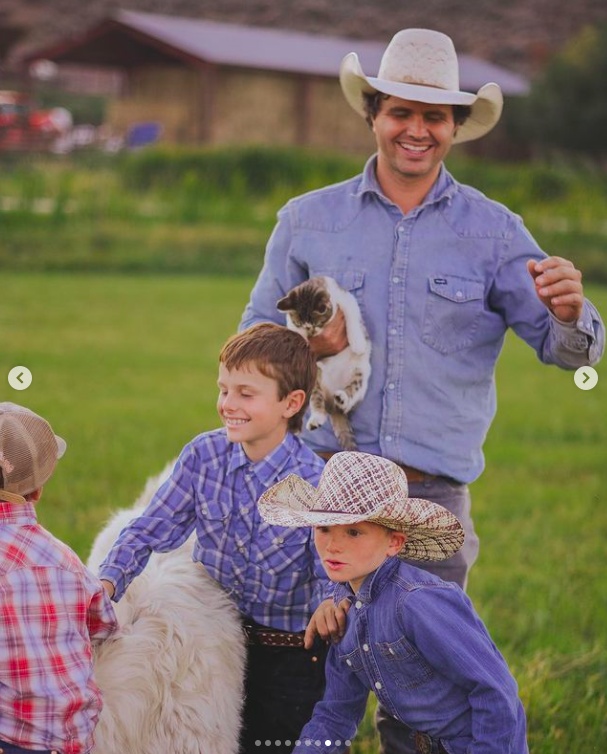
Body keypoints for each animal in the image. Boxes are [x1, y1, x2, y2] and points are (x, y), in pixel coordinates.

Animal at [276, 276, 370, 452]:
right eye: (301, 324)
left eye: (316, 324)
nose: (311, 332)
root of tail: (332, 405)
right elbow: (294, 331)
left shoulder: (347, 300)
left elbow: (352, 318)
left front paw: (358, 343)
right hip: (313, 381)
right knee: (317, 402)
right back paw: (316, 419)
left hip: (360, 373)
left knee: (352, 393)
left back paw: (342, 398)